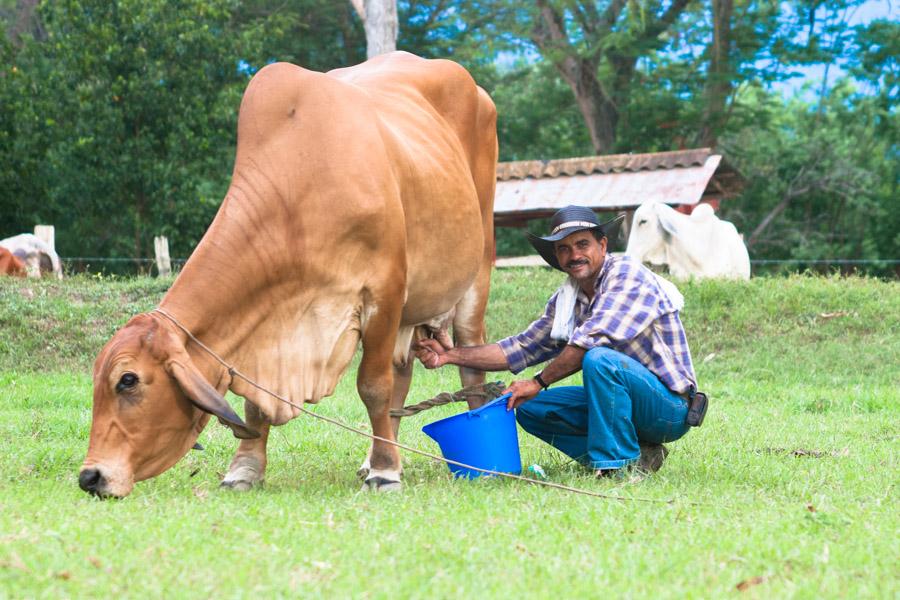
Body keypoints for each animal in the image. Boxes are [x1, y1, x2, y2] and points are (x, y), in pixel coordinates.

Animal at [79, 54, 500, 500]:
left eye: (127, 380)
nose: (91, 476)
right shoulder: (268, 336)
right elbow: (257, 402)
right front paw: (244, 469)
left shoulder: (383, 292)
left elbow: (373, 387)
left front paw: (387, 473)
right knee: (404, 375)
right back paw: (374, 457)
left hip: (476, 269)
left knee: (470, 358)